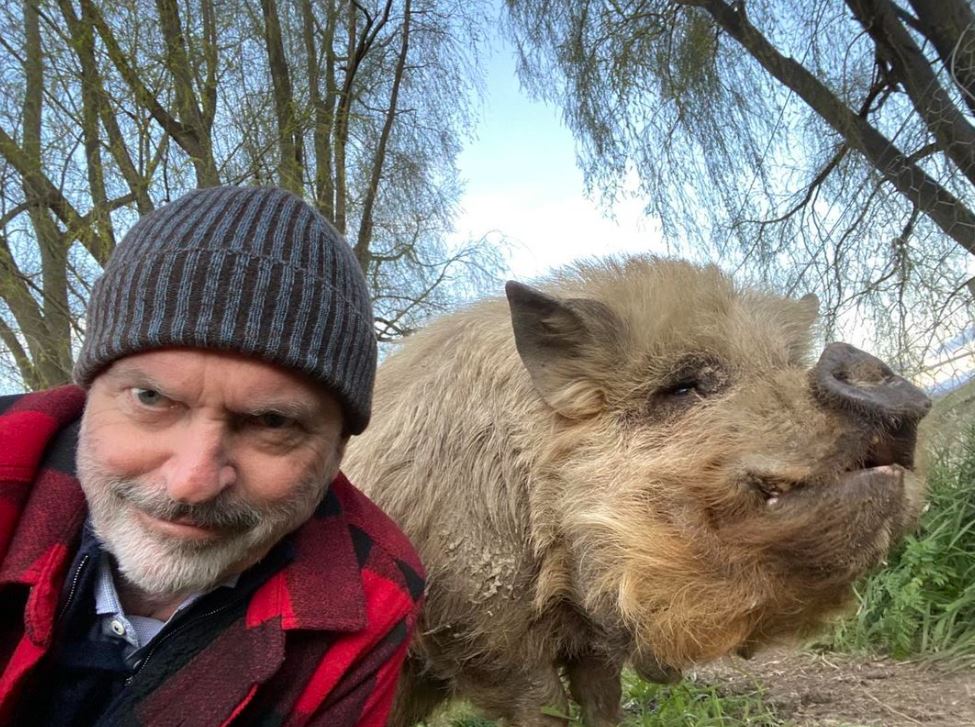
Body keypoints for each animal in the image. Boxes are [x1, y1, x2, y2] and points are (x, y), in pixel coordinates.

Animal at [343, 257, 930, 727]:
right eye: (684, 386)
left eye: (784, 365)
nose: (857, 360)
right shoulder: (477, 627)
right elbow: (544, 705)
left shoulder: (591, 645)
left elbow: (604, 701)